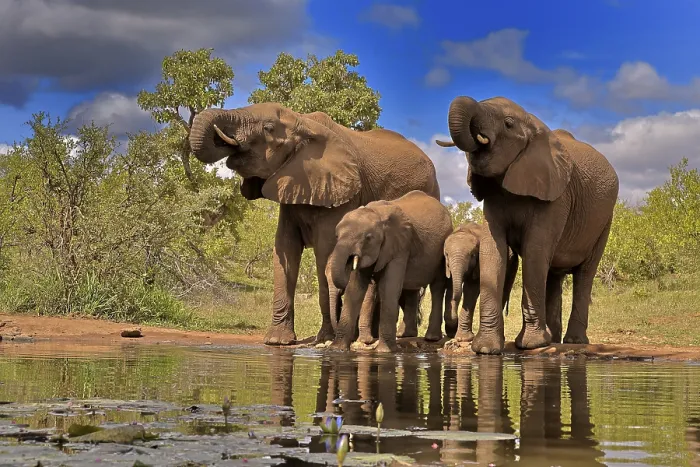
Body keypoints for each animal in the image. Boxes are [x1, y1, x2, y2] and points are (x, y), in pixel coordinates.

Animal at [189, 102, 441, 345]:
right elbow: (285, 249)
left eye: (268, 128)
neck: (303, 122)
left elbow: (323, 252)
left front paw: (325, 339)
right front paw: (277, 341)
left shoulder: (339, 197)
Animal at [328, 190, 454, 352]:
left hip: (442, 250)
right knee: (412, 290)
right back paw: (405, 335)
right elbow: (355, 288)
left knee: (437, 286)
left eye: (368, 238)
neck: (377, 214)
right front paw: (337, 350)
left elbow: (389, 288)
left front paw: (385, 352)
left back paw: (431, 338)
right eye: (337, 236)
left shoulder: (400, 245)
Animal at [436, 96, 619, 354]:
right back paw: (553, 339)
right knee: (553, 275)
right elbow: (493, 251)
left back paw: (573, 341)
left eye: (508, 123)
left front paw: (531, 345)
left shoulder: (555, 196)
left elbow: (534, 250)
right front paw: (486, 350)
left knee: (584, 274)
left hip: (603, 222)